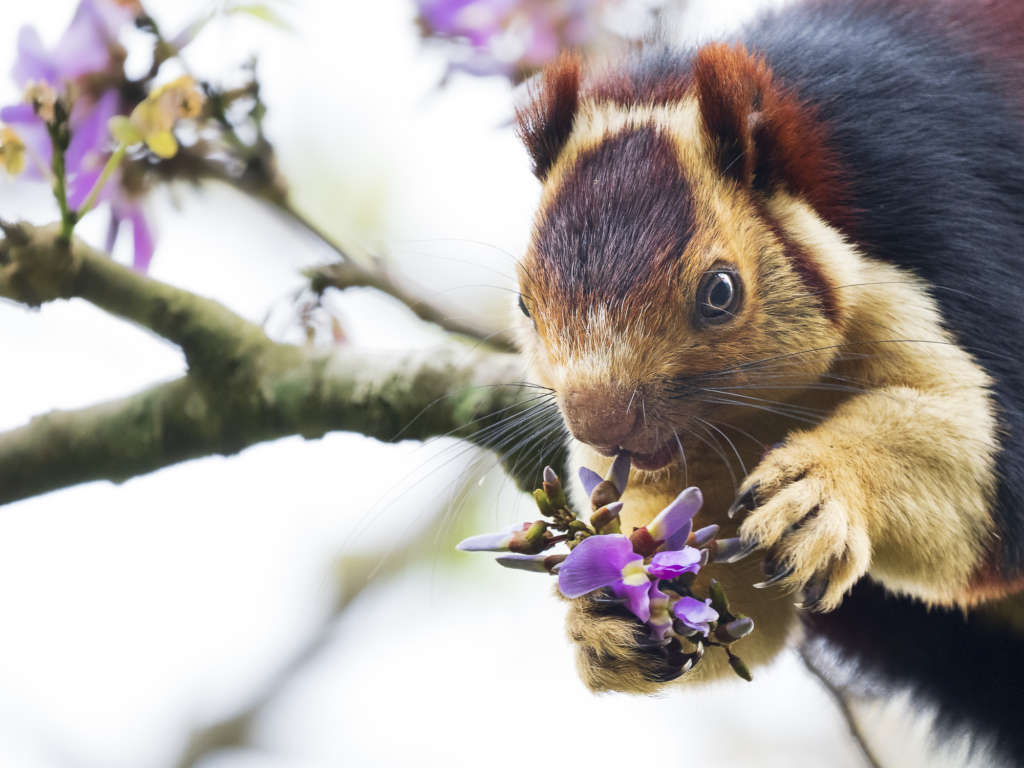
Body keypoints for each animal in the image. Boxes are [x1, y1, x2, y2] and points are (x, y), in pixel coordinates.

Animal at [516, 0, 1024, 761]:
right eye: (523, 304)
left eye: (721, 292)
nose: (599, 425)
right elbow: (735, 598)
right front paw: (606, 615)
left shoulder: (952, 227)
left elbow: (995, 470)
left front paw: (827, 488)